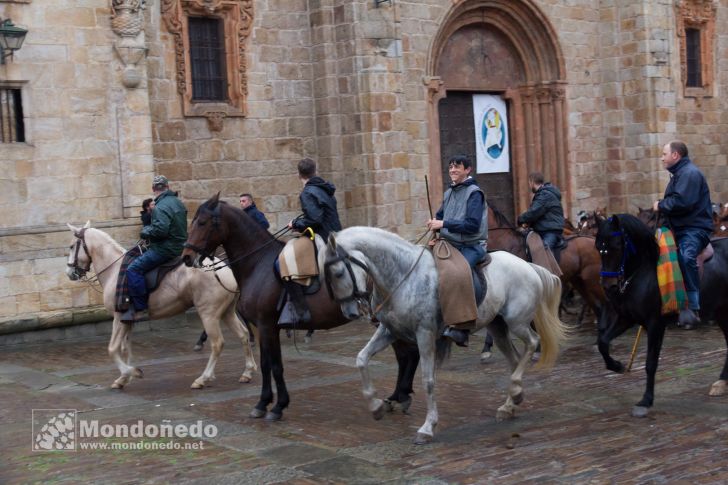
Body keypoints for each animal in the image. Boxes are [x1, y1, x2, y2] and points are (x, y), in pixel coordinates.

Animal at [65, 223, 258, 390]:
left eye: (71, 246)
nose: (69, 273)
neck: (114, 270)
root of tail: (226, 270)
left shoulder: (119, 317)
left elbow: (112, 349)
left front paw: (132, 372)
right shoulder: (127, 320)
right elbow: (124, 349)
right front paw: (123, 378)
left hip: (208, 314)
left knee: (217, 343)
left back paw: (203, 378)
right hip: (227, 312)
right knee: (243, 335)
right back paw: (247, 371)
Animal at [181, 193, 420, 420]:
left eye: (202, 222)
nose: (186, 256)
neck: (258, 264)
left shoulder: (267, 325)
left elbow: (274, 366)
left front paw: (276, 406)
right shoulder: (263, 327)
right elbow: (268, 364)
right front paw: (265, 403)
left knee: (407, 354)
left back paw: (400, 396)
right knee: (406, 354)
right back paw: (398, 396)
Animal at [324, 226, 568, 442]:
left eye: (338, 273)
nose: (350, 312)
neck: (402, 276)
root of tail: (528, 265)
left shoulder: (424, 334)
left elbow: (428, 379)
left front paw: (427, 427)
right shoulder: (389, 331)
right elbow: (361, 359)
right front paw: (376, 407)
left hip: (517, 322)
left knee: (533, 343)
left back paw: (516, 390)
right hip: (497, 328)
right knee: (515, 359)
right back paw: (510, 403)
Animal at [596, 216, 728, 416]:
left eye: (618, 245)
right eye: (599, 248)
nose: (608, 286)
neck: (643, 271)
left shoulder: (655, 324)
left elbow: (651, 363)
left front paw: (645, 400)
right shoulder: (627, 318)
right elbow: (603, 342)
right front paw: (617, 366)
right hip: (722, 312)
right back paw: (721, 382)